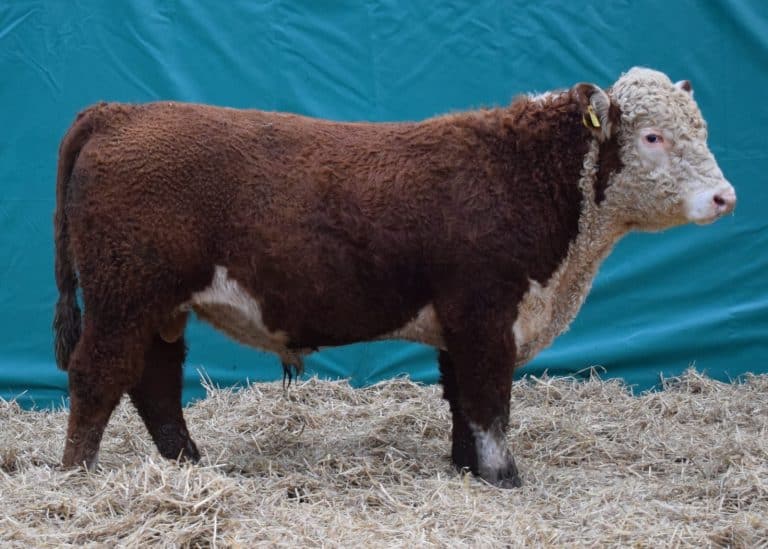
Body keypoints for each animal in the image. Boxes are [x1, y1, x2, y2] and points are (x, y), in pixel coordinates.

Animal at [53, 67, 735, 488]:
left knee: (154, 382)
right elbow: (489, 402)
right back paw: (77, 473)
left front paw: (466, 469)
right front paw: (504, 478)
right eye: (653, 137)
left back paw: (191, 465)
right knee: (97, 375)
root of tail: (120, 112)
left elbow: (461, 401)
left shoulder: (459, 325)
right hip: (123, 294)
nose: (725, 197)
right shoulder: (486, 314)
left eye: (701, 129)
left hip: (157, 307)